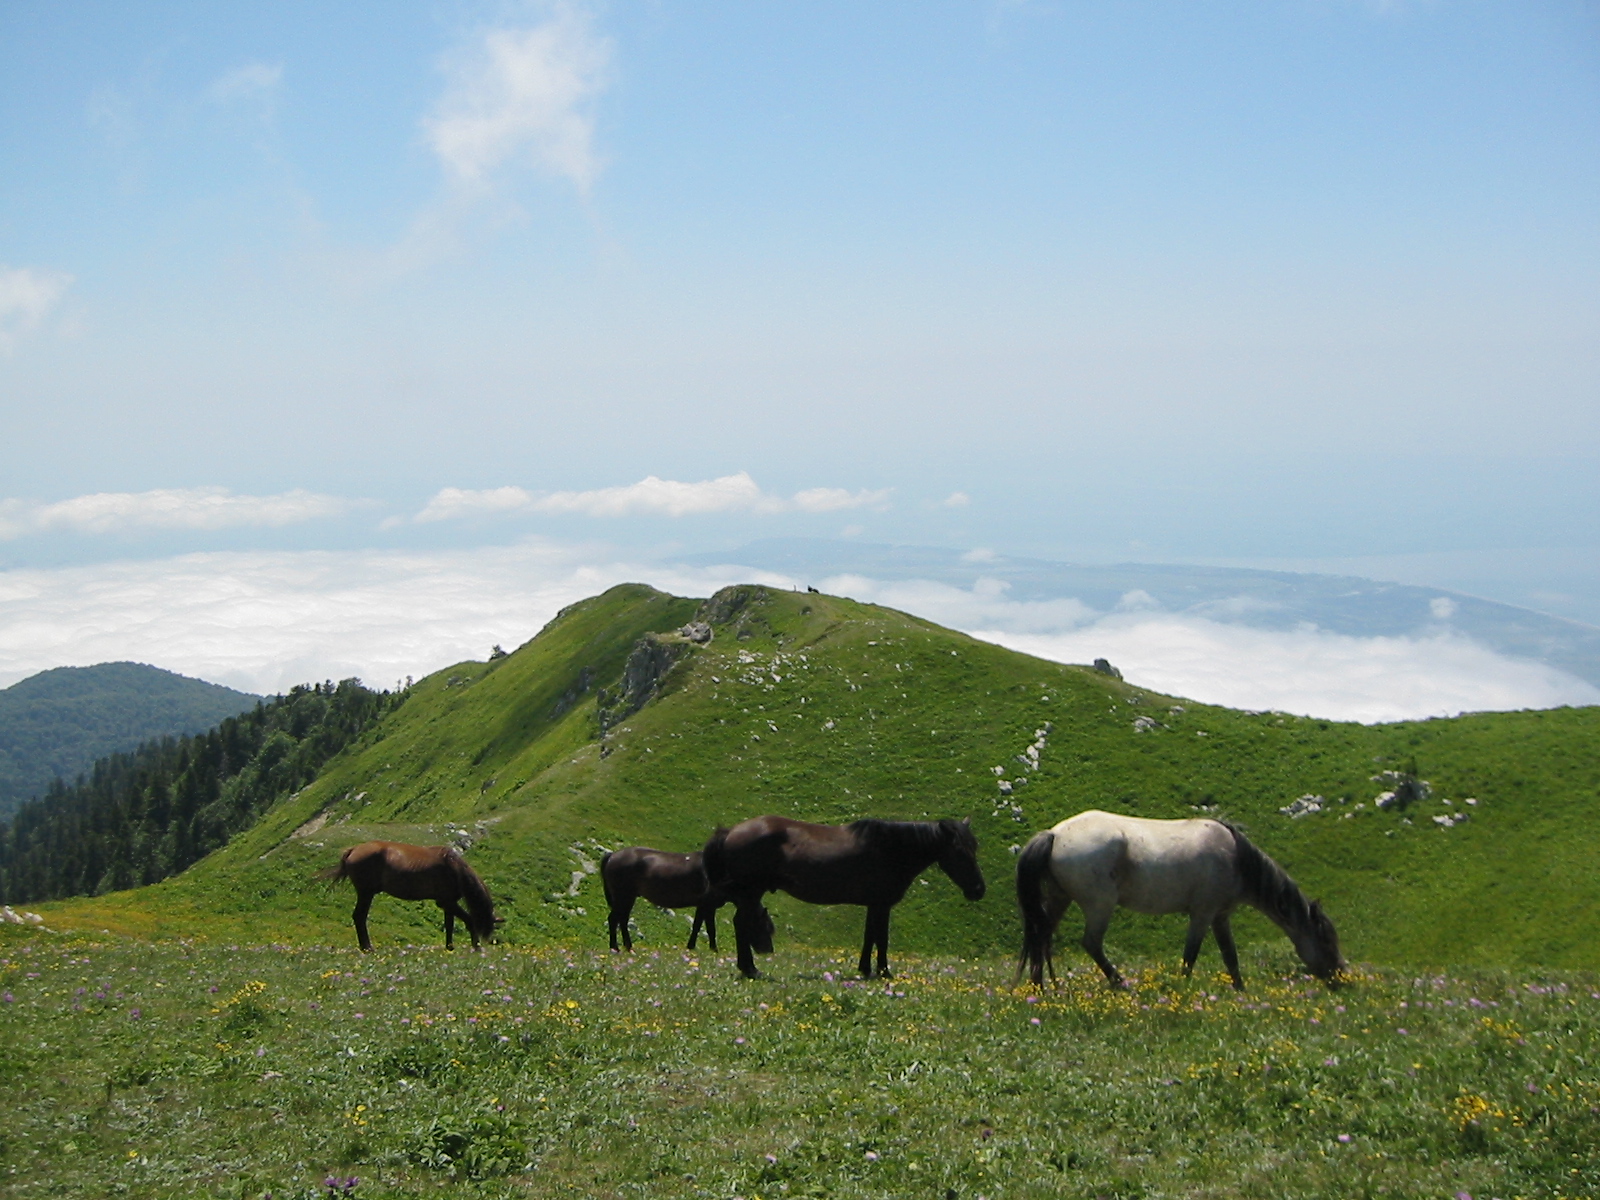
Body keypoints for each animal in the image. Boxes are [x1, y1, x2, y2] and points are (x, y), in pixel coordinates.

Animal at [318, 838, 499, 953]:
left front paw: (450, 947)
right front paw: (475, 945)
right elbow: (468, 919)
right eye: (489, 926)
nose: (486, 941)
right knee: (359, 917)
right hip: (366, 893)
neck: (454, 868)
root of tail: (353, 850)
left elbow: (449, 925)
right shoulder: (446, 902)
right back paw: (367, 947)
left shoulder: (447, 903)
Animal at [601, 844, 774, 960]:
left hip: (627, 897)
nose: (769, 951)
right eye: (764, 927)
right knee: (614, 919)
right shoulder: (708, 905)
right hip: (624, 896)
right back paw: (616, 947)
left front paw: (693, 946)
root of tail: (612, 855)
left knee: (621, 920)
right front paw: (713, 949)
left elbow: (698, 926)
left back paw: (626, 947)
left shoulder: (703, 906)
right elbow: (709, 928)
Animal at [704, 812, 979, 979]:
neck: (889, 848)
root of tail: (730, 831)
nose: (978, 890)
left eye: (975, 847)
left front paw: (865, 969)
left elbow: (870, 937)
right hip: (751, 893)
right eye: (959, 850)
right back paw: (750, 969)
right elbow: (882, 938)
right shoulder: (882, 904)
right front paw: (883, 972)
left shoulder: (874, 904)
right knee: (742, 924)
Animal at [1017, 812, 1344, 992]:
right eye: (1327, 941)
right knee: (1091, 943)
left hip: (1060, 898)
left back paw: (1038, 989)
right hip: (1100, 905)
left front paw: (1241, 992)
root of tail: (1055, 834)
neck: (1235, 858)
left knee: (1041, 936)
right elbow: (1190, 956)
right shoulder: (1202, 914)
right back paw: (1121, 984)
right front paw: (1180, 993)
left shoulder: (1220, 916)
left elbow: (1230, 957)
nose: (1342, 979)